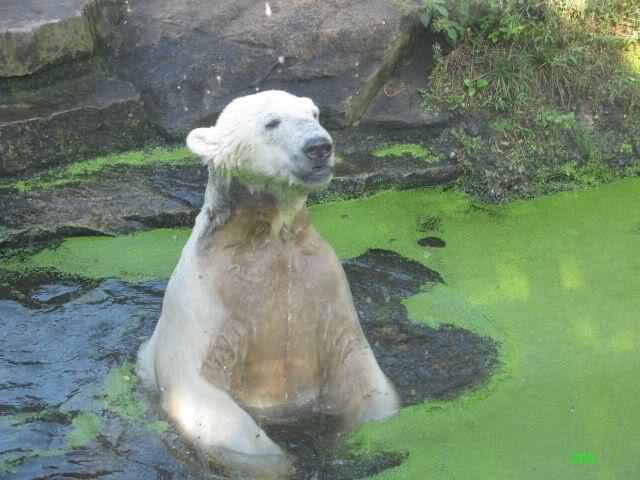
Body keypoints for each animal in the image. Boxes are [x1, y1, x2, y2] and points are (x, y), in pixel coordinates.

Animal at [137, 90, 399, 475]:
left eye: (314, 113)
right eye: (271, 122)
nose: (319, 146)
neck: (265, 238)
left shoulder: (323, 282)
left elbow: (355, 363)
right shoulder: (206, 296)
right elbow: (201, 392)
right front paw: (282, 464)